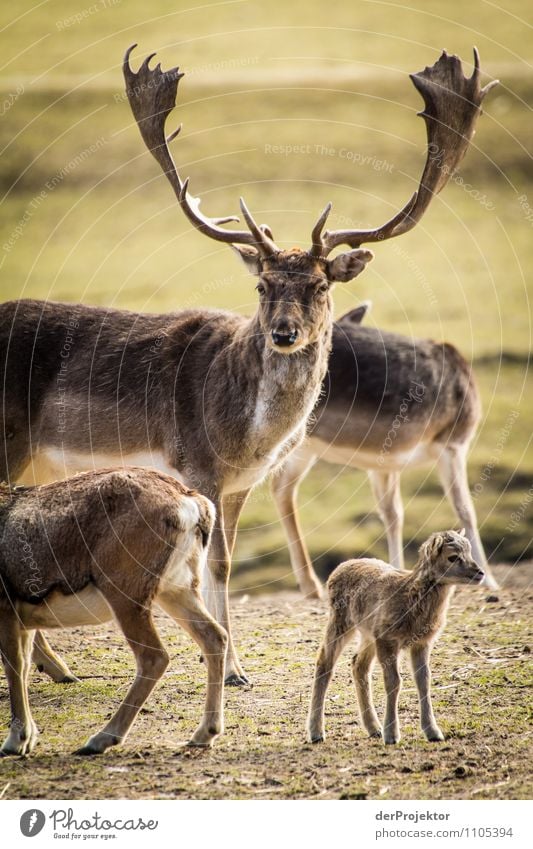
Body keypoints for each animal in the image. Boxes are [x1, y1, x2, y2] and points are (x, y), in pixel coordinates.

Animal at [0, 470, 227, 756]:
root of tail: (191, 501)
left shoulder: (6, 611)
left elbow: (15, 667)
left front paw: (15, 741)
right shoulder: (24, 621)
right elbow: (25, 666)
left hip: (127, 600)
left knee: (155, 657)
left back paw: (102, 738)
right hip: (177, 591)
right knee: (215, 637)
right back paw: (204, 734)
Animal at [270, 304, 498, 596]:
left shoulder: (384, 462)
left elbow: (393, 514)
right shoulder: (453, 441)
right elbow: (465, 508)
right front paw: (491, 581)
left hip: (303, 447)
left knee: (281, 489)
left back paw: (311, 586)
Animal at [306, 528, 484, 744]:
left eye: (469, 552)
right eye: (453, 557)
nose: (479, 573)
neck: (411, 597)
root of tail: (339, 568)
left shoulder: (421, 643)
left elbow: (423, 681)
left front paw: (433, 732)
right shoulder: (388, 639)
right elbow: (394, 682)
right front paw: (392, 735)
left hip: (368, 634)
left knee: (358, 665)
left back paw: (374, 729)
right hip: (341, 622)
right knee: (324, 662)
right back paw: (316, 733)